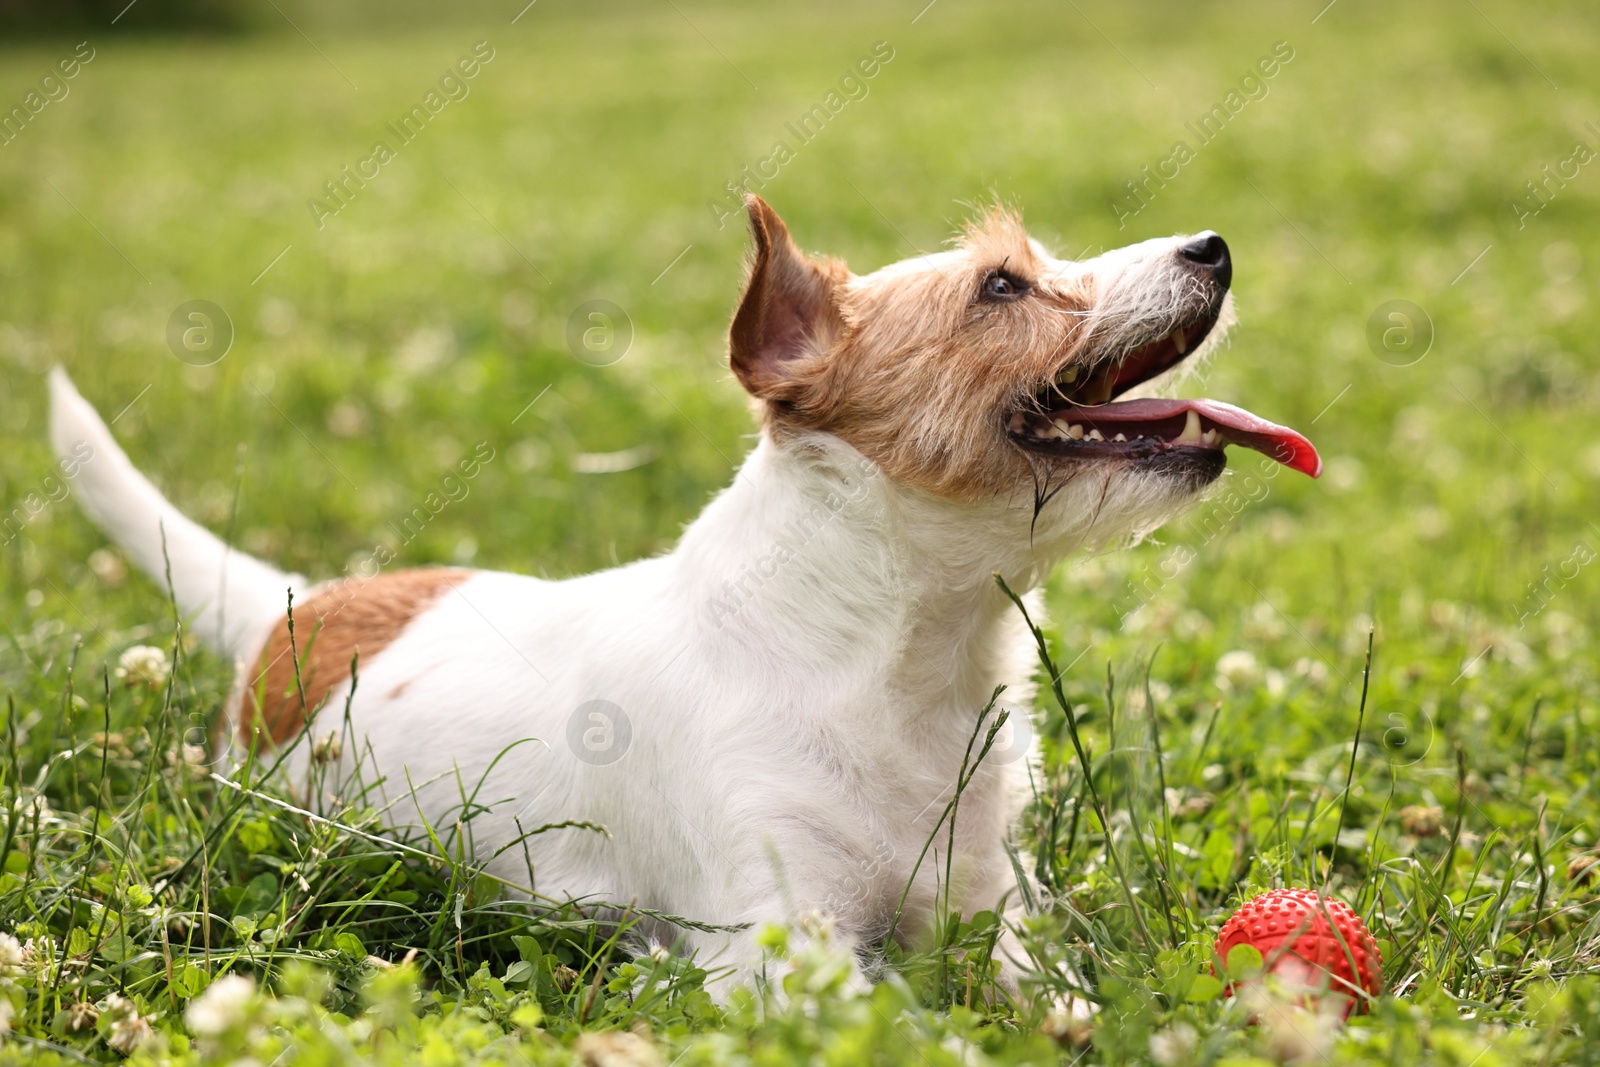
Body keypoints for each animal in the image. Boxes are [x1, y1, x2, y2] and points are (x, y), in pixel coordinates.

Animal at [50, 194, 1324, 1004]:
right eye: (1001, 284)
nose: (1212, 245)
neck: (894, 659)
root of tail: (298, 612)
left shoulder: (988, 916)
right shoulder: (779, 946)